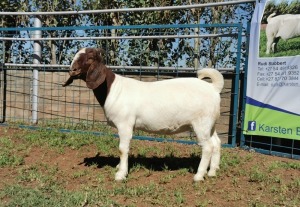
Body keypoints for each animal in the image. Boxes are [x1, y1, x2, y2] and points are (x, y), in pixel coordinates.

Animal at [62, 48, 223, 181]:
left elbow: (122, 149)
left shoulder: (125, 124)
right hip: (210, 124)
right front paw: (119, 167)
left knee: (207, 147)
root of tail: (213, 88)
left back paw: (199, 176)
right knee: (216, 143)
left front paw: (120, 174)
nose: (72, 70)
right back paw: (212, 172)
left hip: (201, 123)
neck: (113, 88)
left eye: (90, 58)